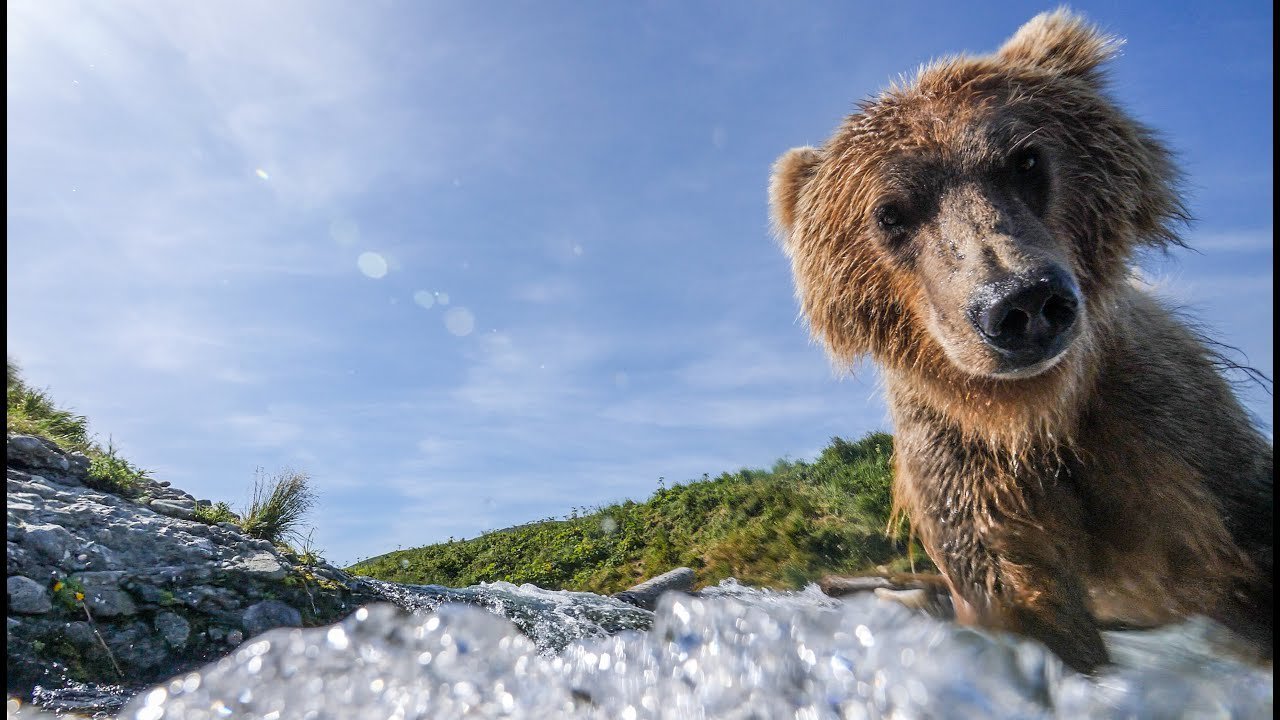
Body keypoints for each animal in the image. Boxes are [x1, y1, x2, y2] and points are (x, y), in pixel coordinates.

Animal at [768, 9, 1269, 671]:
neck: (1036, 415)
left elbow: (1234, 539)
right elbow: (1021, 596)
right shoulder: (964, 466)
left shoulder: (1164, 429)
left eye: (1024, 160)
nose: (1021, 302)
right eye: (890, 213)